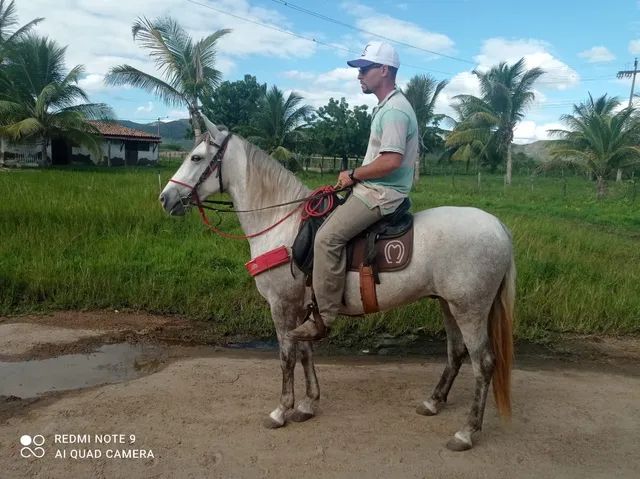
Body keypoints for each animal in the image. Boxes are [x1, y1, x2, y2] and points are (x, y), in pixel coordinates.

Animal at [160, 118, 516, 452]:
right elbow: (305, 352)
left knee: (483, 363)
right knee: (456, 352)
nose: (166, 199)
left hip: (470, 309)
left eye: (196, 157)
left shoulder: (282, 305)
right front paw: (307, 404)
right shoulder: (302, 308)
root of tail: (498, 227)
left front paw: (281, 410)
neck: (282, 227)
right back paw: (434, 402)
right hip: (448, 304)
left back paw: (466, 432)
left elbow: (287, 356)